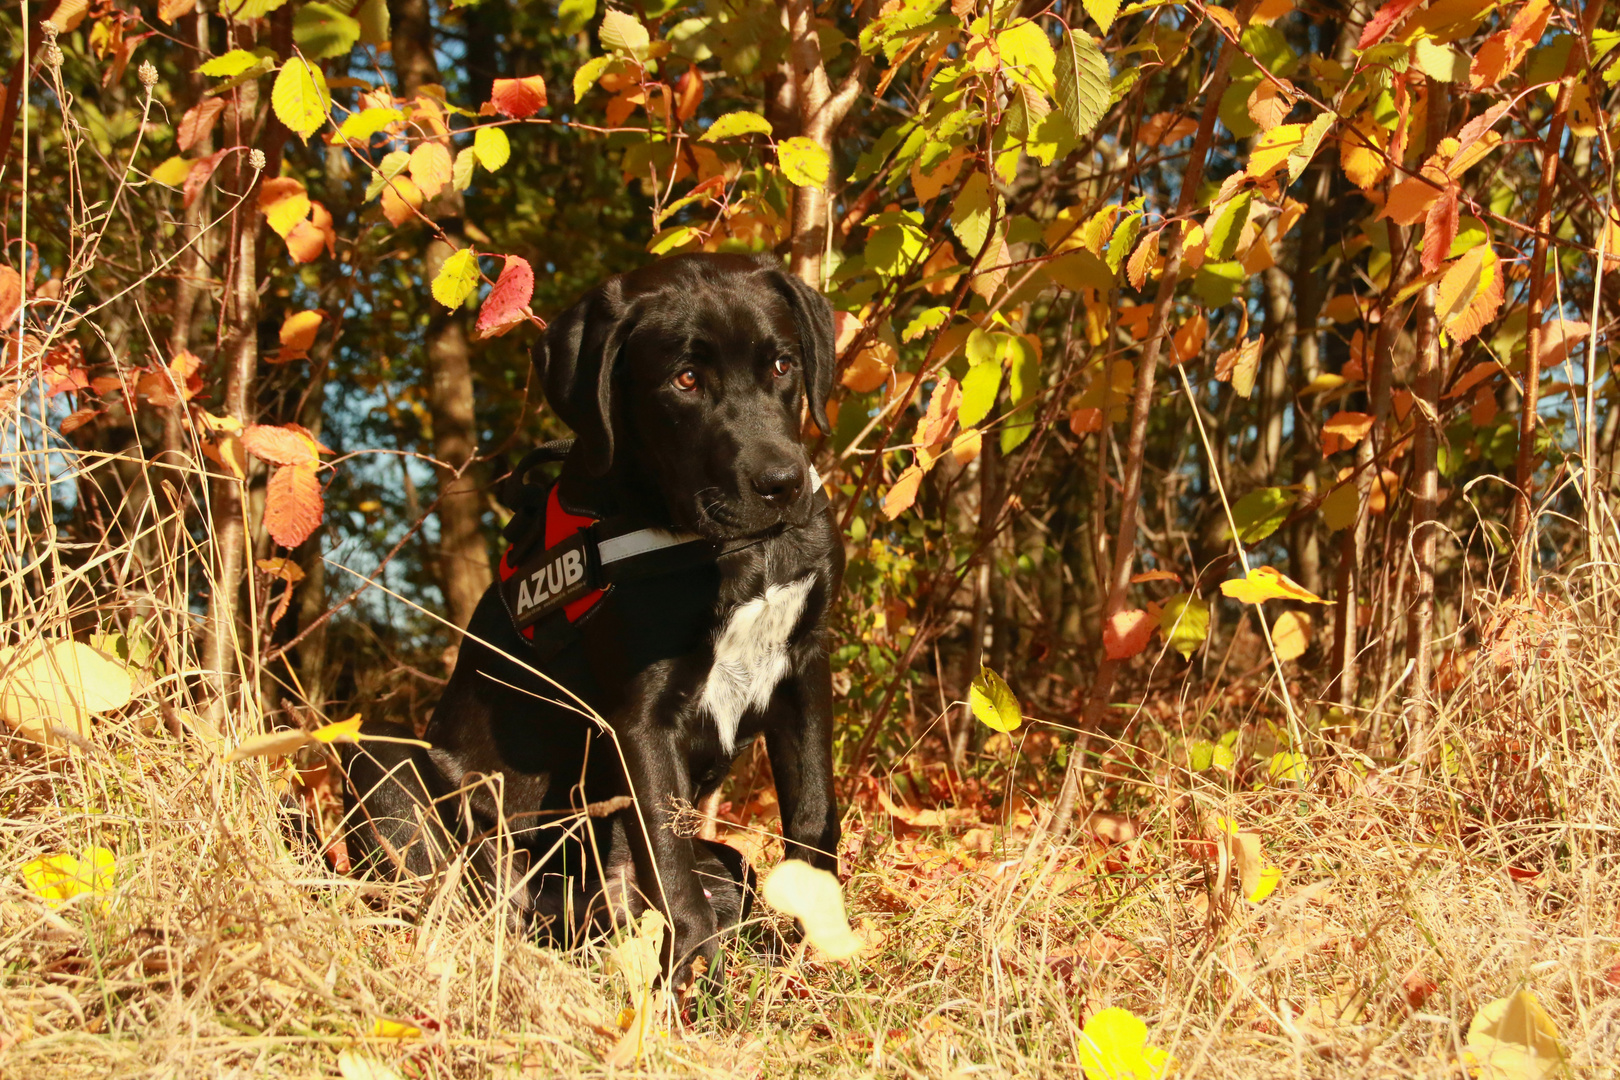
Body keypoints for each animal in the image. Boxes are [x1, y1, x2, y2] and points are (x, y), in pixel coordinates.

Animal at [343, 255, 848, 990]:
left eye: (783, 364)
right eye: (684, 379)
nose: (781, 483)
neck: (730, 550)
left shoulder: (803, 666)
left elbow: (812, 819)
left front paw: (819, 951)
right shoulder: (641, 717)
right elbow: (671, 868)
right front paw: (695, 989)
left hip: (716, 862)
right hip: (383, 762)